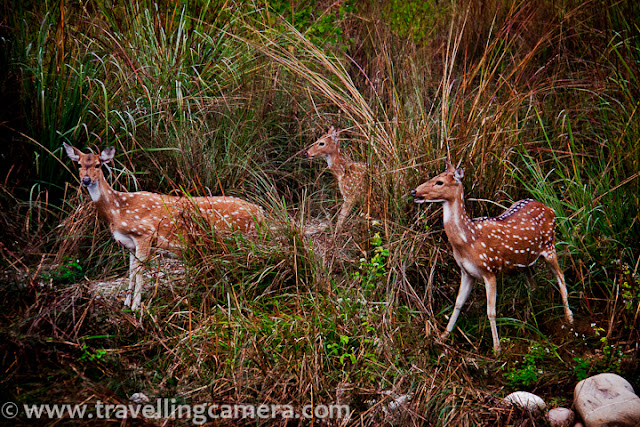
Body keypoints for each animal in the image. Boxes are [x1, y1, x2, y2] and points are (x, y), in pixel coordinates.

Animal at [63, 144, 264, 310]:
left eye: (98, 165)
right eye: (79, 164)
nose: (86, 180)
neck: (118, 210)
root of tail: (261, 213)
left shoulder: (145, 233)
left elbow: (140, 271)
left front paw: (136, 305)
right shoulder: (129, 244)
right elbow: (131, 271)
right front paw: (127, 302)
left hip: (241, 238)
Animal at [412, 161, 572, 354]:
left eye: (439, 182)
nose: (414, 191)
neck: (468, 240)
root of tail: (550, 208)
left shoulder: (489, 269)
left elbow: (491, 311)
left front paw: (497, 349)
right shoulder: (467, 272)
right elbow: (458, 303)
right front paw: (442, 337)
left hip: (549, 246)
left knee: (561, 276)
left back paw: (569, 319)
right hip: (524, 262)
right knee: (533, 285)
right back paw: (529, 319)